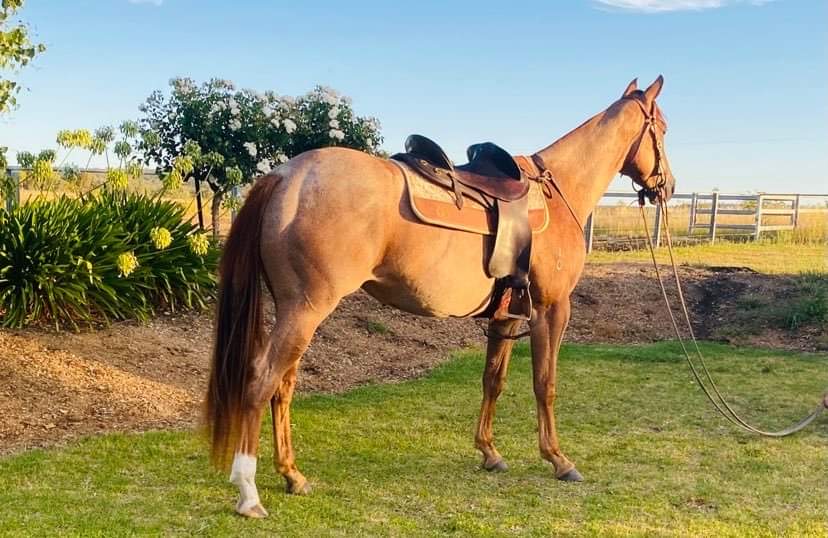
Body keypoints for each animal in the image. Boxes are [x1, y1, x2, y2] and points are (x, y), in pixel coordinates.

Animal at [206, 76, 676, 518]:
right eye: (663, 129)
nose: (668, 186)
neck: (560, 192)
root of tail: (285, 175)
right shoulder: (551, 310)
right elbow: (545, 385)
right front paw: (559, 460)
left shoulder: (506, 318)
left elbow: (493, 380)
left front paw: (489, 452)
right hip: (304, 311)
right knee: (261, 380)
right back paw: (248, 493)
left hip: (295, 312)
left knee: (282, 388)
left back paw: (292, 475)